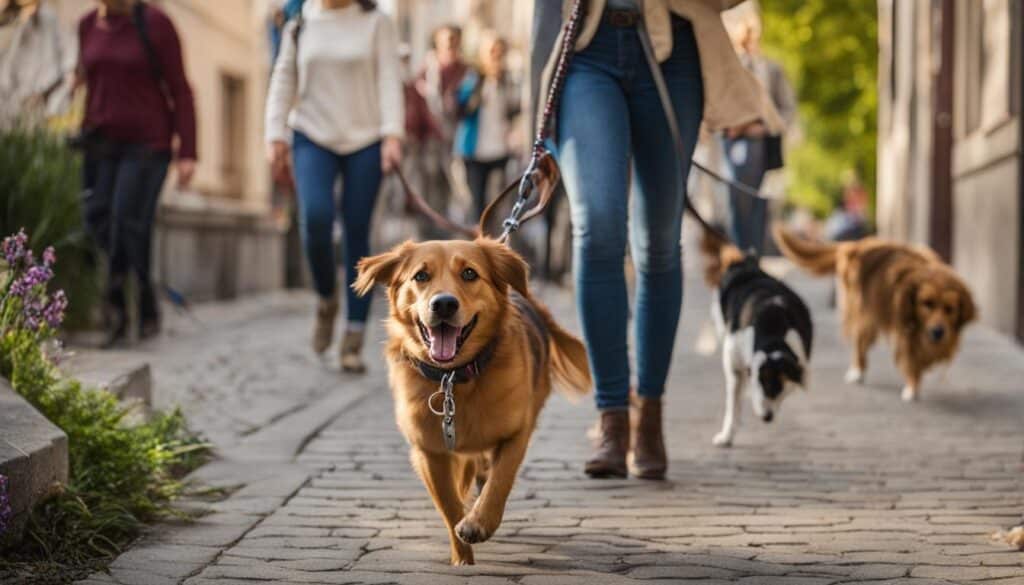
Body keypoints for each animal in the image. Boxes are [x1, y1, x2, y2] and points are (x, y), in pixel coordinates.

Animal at [354, 238, 589, 569]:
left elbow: (500, 480)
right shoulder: (430, 451)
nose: (443, 304)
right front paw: (462, 558)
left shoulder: (517, 433)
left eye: (469, 273)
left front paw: (479, 523)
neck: (454, 378)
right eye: (420, 276)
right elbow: (449, 504)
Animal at [700, 233, 811, 448]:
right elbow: (733, 403)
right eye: (765, 386)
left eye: (778, 389)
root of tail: (745, 264)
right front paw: (726, 435)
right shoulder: (734, 362)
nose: (767, 417)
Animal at [774, 225, 974, 403]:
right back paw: (857, 371)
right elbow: (911, 358)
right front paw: (912, 386)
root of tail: (860, 244)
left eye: (949, 309)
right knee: (859, 344)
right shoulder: (904, 330)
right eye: (927, 304)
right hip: (864, 313)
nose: (938, 332)